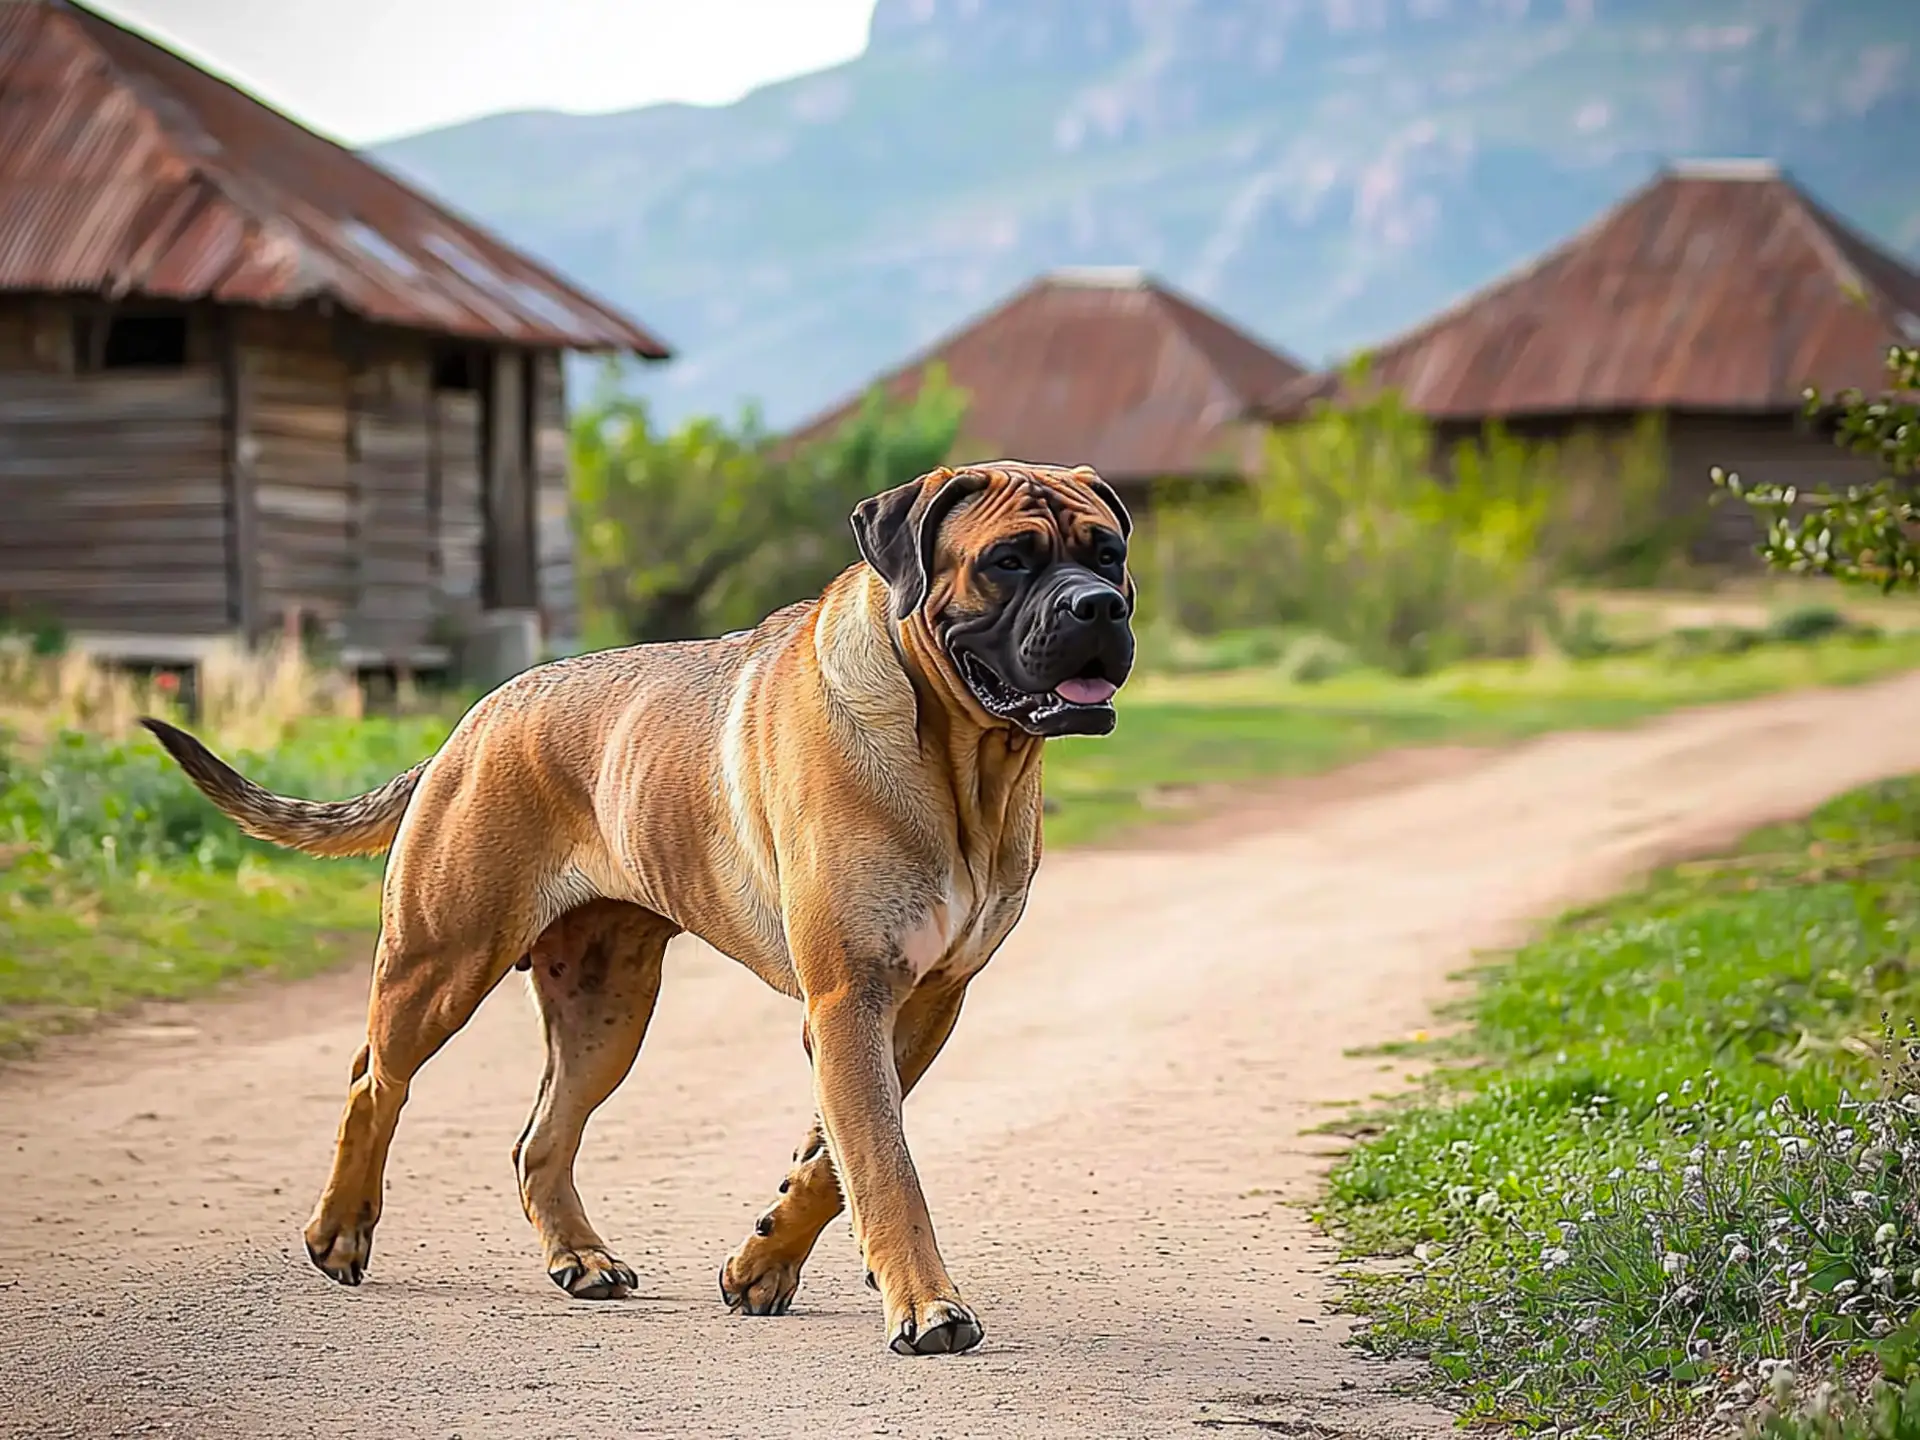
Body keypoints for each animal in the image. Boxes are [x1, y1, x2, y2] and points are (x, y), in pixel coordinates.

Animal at [153, 464, 1136, 1367]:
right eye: (1008, 561)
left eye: (1107, 554)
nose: (1098, 608)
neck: (963, 759)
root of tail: (469, 723)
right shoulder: (851, 999)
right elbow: (885, 1167)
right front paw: (926, 1306)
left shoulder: (921, 1003)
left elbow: (832, 1160)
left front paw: (760, 1266)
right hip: (439, 963)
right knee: (374, 1081)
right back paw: (341, 1231)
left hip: (606, 1009)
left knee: (540, 1139)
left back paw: (581, 1258)